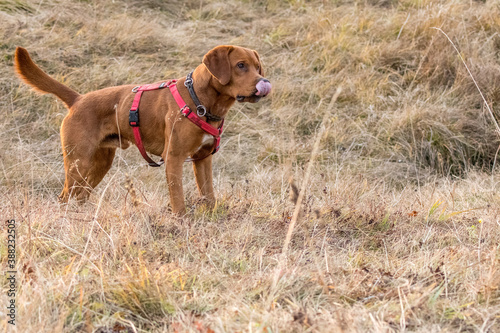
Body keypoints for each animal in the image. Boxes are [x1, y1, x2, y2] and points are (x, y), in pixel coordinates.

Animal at [15, 45, 272, 214]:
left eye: (257, 67)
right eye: (240, 65)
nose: (264, 83)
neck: (200, 100)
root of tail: (78, 99)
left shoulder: (203, 159)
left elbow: (209, 195)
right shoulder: (174, 158)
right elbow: (178, 200)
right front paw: (182, 224)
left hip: (99, 164)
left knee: (80, 196)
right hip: (78, 163)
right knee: (64, 197)